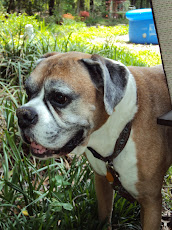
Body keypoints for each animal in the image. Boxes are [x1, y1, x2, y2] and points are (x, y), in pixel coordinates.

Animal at [16, 51, 172, 229]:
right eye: (28, 91)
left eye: (60, 97)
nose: (22, 115)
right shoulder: (102, 181)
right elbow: (105, 216)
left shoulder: (151, 202)